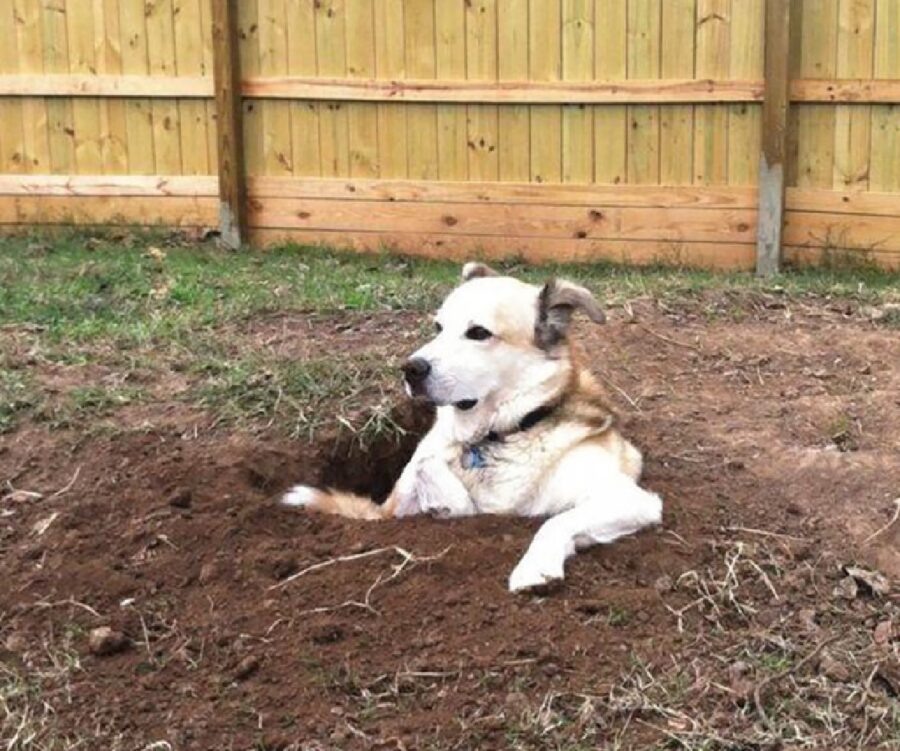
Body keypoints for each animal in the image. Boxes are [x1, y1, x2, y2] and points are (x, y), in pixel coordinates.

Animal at [284, 264, 664, 592]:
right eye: (438, 327)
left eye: (479, 333)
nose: (410, 369)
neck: (499, 436)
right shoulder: (394, 507)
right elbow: (435, 474)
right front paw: (445, 502)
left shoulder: (631, 499)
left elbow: (554, 521)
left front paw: (534, 567)